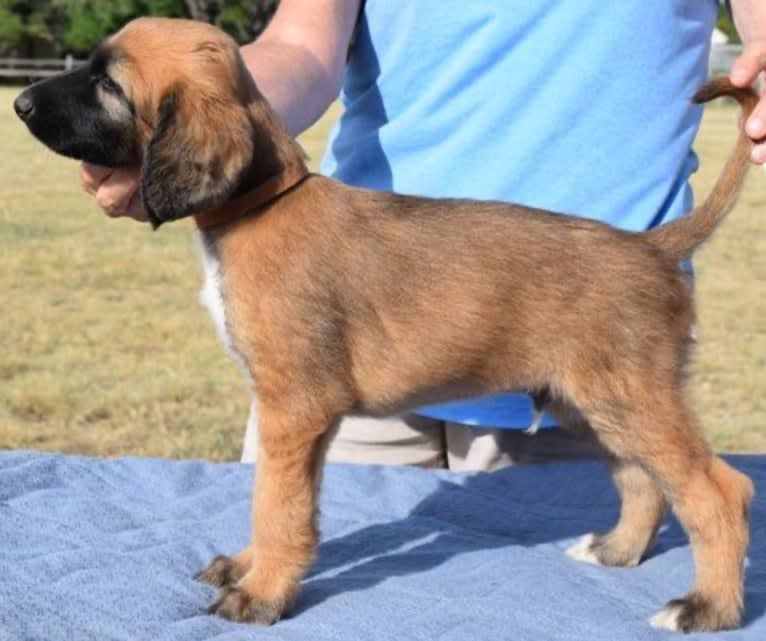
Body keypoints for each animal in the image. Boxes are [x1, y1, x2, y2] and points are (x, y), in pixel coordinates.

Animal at [15, 17, 760, 632]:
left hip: (633, 397)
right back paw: (616, 550)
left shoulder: (293, 405)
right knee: (642, 481)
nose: (19, 104)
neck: (260, 207)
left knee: (719, 491)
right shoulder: (300, 420)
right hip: (594, 401)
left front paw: (261, 593)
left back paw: (707, 606)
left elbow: (274, 505)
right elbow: (283, 502)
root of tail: (651, 245)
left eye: (108, 83)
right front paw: (255, 567)